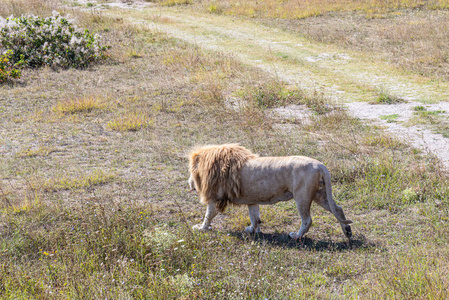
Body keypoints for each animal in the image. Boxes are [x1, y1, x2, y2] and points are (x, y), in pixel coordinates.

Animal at [187, 144, 352, 240]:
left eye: (190, 171)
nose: (189, 184)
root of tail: (320, 165)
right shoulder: (252, 200)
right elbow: (255, 217)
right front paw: (252, 230)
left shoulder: (216, 198)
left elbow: (208, 215)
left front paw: (201, 228)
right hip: (320, 194)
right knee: (338, 209)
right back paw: (348, 232)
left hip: (302, 196)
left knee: (307, 220)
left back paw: (296, 236)